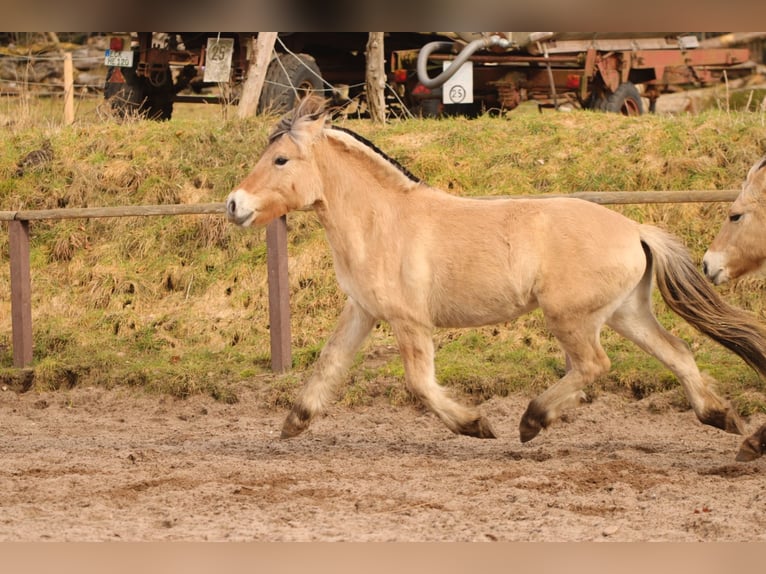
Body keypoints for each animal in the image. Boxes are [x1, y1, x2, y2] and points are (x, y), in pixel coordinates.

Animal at [226, 96, 766, 450]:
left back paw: (531, 422)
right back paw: (724, 420)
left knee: (594, 365)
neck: (383, 221)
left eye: (280, 159)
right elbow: (330, 362)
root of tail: (635, 229)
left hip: (572, 317)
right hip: (626, 313)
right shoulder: (362, 310)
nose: (234, 205)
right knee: (677, 353)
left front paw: (475, 425)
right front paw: (294, 422)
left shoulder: (409, 322)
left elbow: (419, 383)